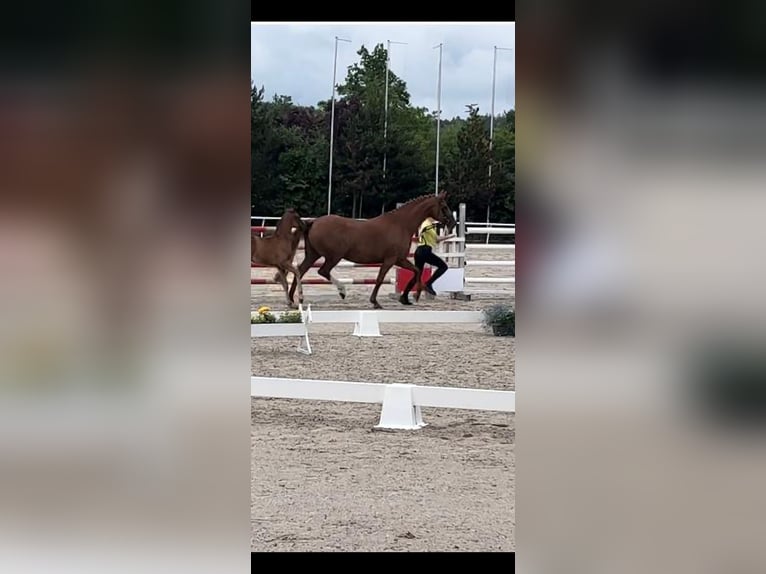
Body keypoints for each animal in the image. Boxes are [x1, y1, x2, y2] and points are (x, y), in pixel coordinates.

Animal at [288, 192, 456, 310]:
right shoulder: (390, 260)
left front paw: (409, 297)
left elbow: (416, 270)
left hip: (313, 255)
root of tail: (314, 222)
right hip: (333, 257)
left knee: (300, 271)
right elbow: (380, 279)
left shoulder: (400, 259)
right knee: (322, 271)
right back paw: (342, 291)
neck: (400, 224)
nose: (453, 223)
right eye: (444, 207)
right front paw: (375, 302)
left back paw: (292, 300)